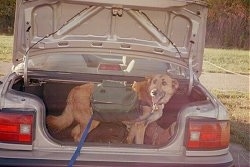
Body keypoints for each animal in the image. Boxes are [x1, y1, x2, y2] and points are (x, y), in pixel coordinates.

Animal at [47, 74, 179, 144]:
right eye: (155, 82)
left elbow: (130, 139)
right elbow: (139, 142)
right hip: (91, 121)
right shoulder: (140, 126)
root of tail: (76, 89)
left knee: (74, 133)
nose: (153, 92)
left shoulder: (135, 126)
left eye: (164, 83)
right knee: (78, 136)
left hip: (87, 121)